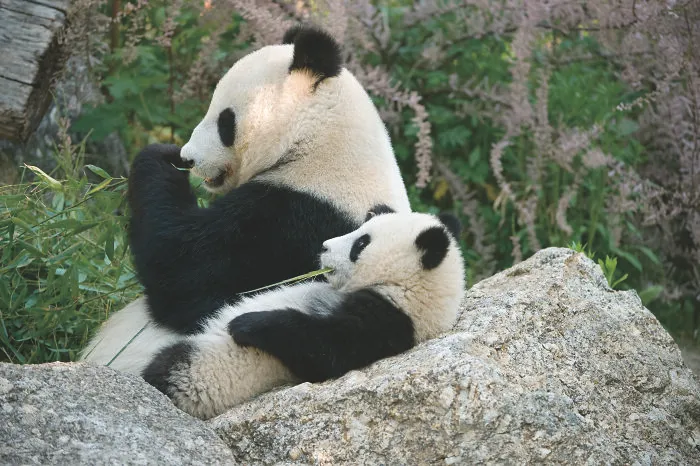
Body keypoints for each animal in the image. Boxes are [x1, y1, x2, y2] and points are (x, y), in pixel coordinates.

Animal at [80, 25, 411, 368]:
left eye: (225, 121)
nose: (188, 157)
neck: (319, 145)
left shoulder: (297, 221)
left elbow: (186, 271)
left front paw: (160, 155)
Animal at [141, 210, 466, 419]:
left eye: (361, 244)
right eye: (360, 230)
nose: (324, 246)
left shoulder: (390, 321)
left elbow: (325, 349)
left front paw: (246, 323)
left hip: (204, 371)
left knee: (169, 368)